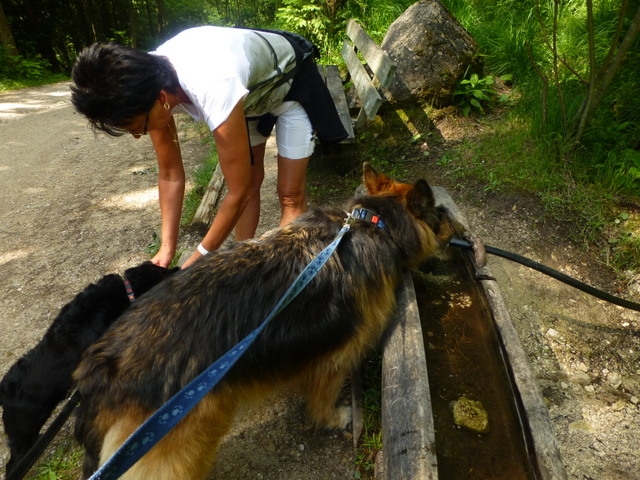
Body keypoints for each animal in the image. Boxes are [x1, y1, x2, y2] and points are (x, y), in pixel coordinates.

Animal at [0, 262, 178, 476]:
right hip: (22, 434)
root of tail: (3, 390)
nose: (177, 268)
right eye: (163, 274)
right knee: (13, 465)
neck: (125, 289)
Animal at [72, 163, 442, 478]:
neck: (375, 220)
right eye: (436, 210)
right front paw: (334, 418)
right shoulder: (338, 357)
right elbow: (324, 395)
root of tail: (101, 364)